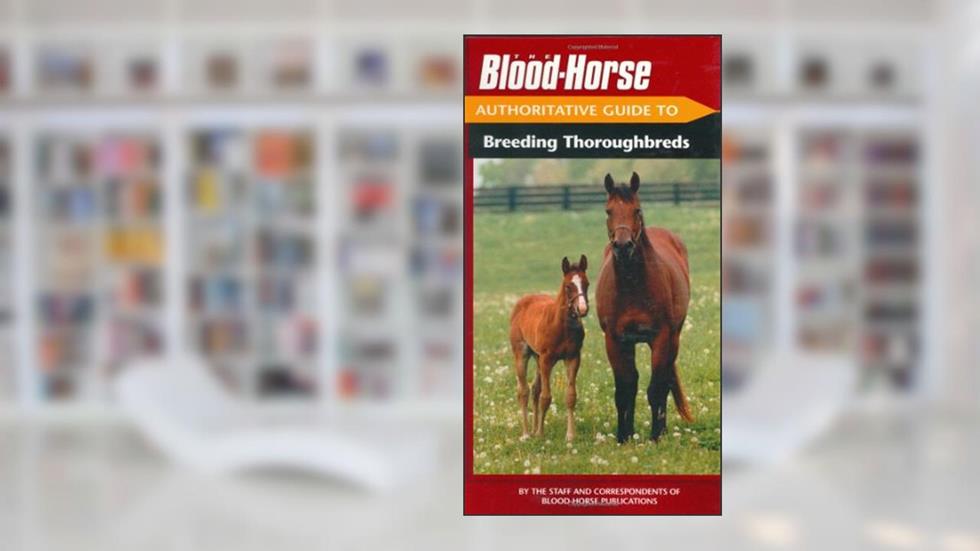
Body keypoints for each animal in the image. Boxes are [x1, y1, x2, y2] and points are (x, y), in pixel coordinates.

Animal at [509, 255, 590, 441]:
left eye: (587, 284)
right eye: (568, 286)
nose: (582, 309)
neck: (561, 327)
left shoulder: (573, 358)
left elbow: (570, 396)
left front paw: (570, 435)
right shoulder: (547, 359)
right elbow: (546, 397)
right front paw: (540, 433)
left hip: (537, 357)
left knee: (534, 389)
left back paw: (532, 429)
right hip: (522, 354)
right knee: (523, 391)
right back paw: (526, 433)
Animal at [595, 172, 693, 443]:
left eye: (636, 210)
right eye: (608, 211)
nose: (623, 246)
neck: (633, 286)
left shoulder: (661, 338)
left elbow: (656, 389)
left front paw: (655, 436)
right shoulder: (615, 340)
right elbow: (624, 389)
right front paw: (624, 436)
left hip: (673, 339)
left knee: (665, 381)